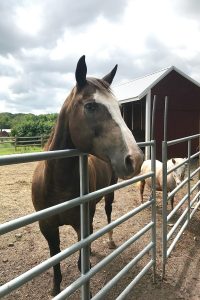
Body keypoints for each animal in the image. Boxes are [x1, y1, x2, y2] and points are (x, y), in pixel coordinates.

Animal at [31, 55, 144, 296]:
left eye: (120, 108)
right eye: (91, 106)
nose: (135, 158)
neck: (57, 185)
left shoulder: (80, 223)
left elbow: (81, 255)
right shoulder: (47, 227)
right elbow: (55, 258)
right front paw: (56, 288)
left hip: (107, 196)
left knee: (108, 214)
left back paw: (109, 242)